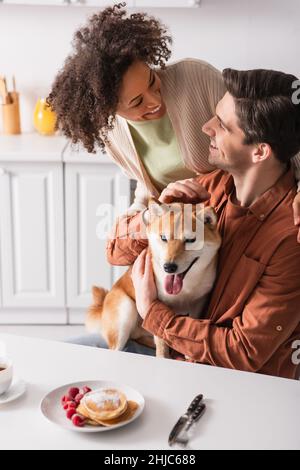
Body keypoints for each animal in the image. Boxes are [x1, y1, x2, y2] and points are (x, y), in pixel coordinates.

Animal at [85, 200, 221, 358]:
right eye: (164, 238)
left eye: (190, 240)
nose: (168, 267)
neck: (185, 289)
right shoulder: (157, 305)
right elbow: (161, 338)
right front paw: (163, 356)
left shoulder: (198, 303)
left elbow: (191, 330)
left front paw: (189, 353)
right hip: (126, 311)